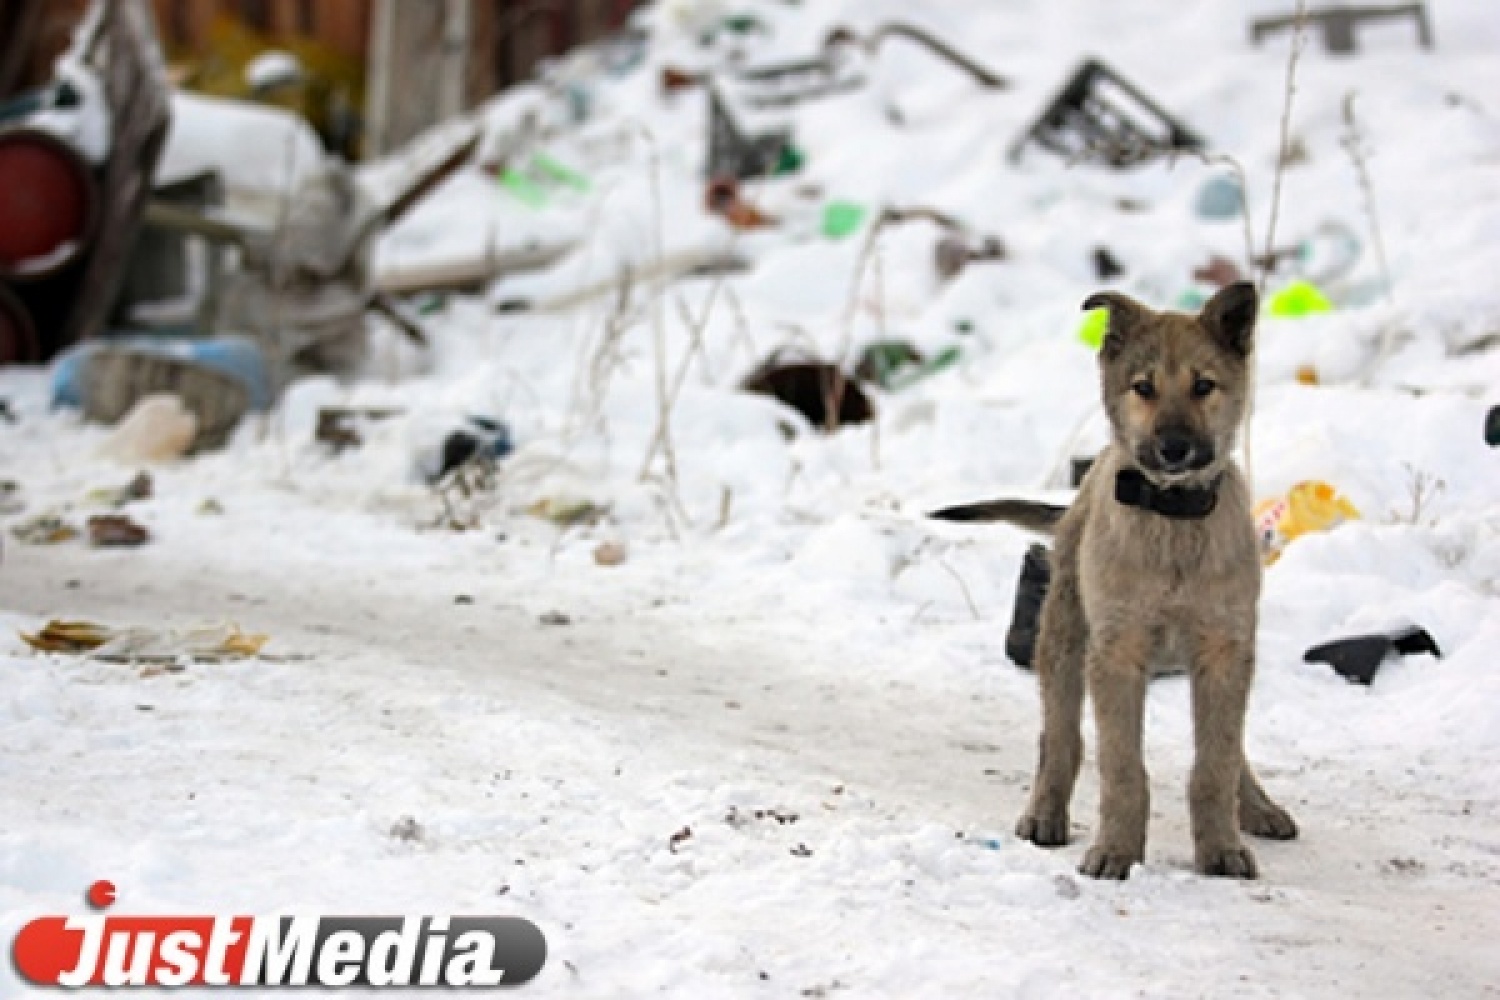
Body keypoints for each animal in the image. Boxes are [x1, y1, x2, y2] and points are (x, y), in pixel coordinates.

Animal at [942, 284, 1296, 881]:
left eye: (1204, 385)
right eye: (1143, 388)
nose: (1174, 448)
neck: (1173, 519)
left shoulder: (1224, 649)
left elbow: (1216, 761)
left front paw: (1221, 848)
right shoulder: (1117, 651)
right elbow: (1121, 765)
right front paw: (1116, 852)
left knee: (1232, 748)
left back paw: (1257, 807)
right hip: (1064, 639)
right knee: (1059, 737)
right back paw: (1045, 814)